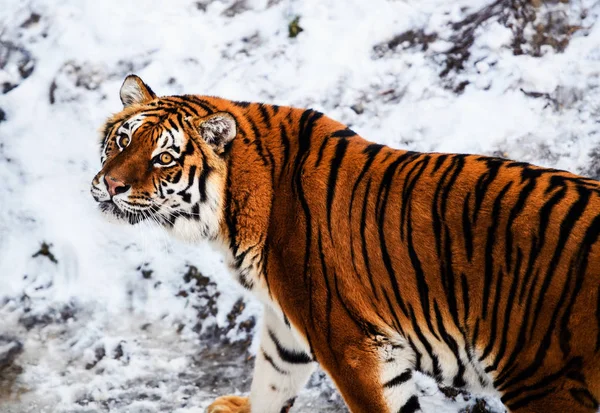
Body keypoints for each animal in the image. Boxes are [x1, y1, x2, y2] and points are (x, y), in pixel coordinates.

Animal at [89, 75, 600, 412]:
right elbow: (271, 380)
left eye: (164, 158)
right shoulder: (288, 327)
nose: (111, 185)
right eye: (122, 140)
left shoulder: (352, 344)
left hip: (546, 385)